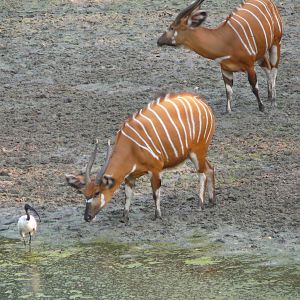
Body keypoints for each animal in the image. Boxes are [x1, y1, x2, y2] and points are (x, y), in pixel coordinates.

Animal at [66, 93, 216, 223]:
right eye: (84, 193)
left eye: (97, 193)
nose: (87, 217)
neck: (130, 147)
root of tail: (202, 104)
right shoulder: (130, 176)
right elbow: (128, 195)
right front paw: (124, 217)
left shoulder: (155, 169)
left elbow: (155, 193)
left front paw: (157, 215)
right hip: (195, 154)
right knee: (210, 168)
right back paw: (212, 201)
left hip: (197, 152)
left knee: (202, 174)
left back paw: (200, 205)